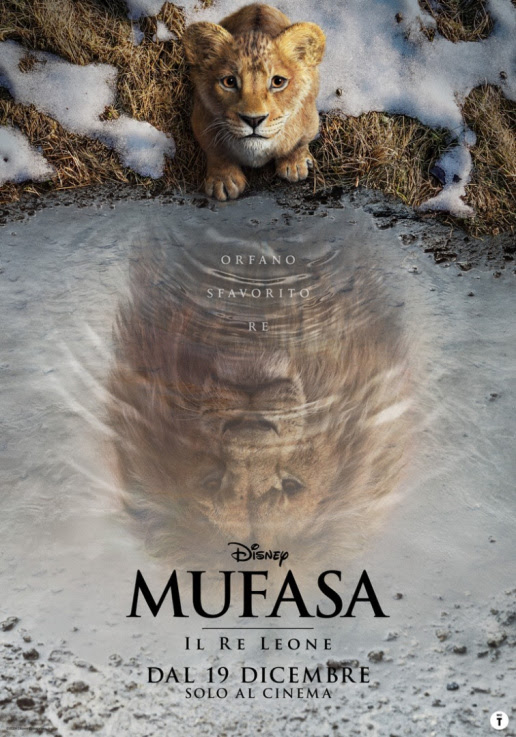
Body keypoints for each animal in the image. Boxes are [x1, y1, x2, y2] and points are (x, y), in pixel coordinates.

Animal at [182, 4, 325, 201]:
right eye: (229, 82)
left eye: (278, 82)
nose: (253, 120)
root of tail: (258, 5)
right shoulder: (201, 120)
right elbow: (216, 151)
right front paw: (223, 180)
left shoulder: (310, 119)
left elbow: (299, 142)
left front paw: (295, 164)